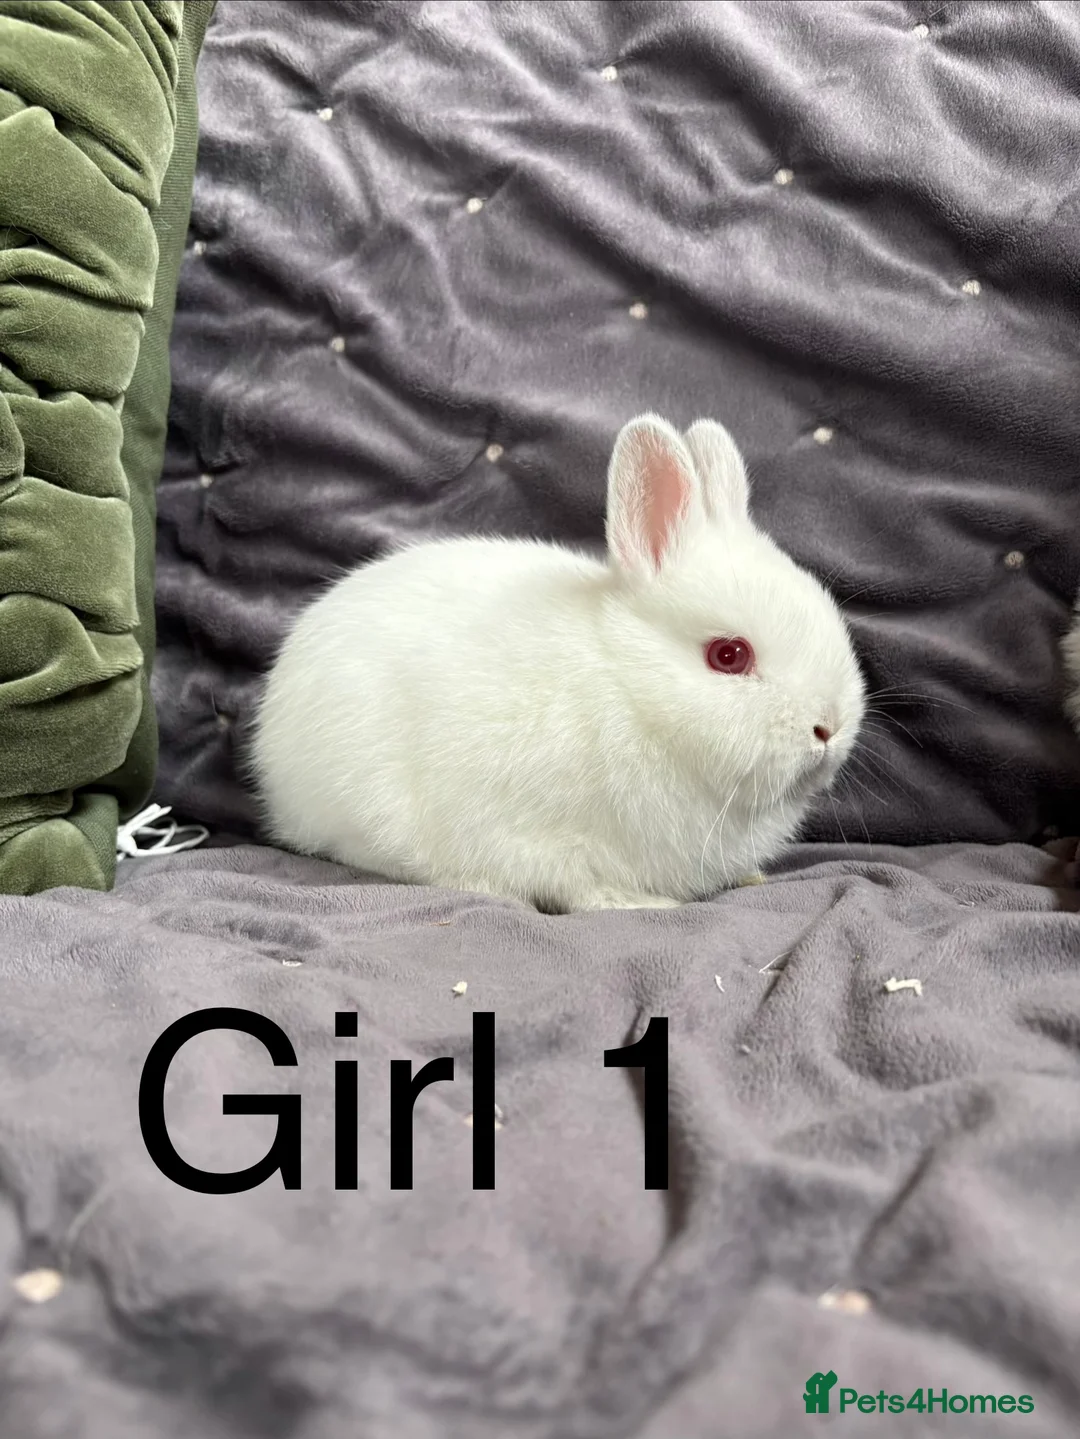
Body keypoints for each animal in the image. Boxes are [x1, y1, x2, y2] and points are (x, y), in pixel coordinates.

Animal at [250, 414, 866, 912]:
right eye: (729, 655)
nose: (829, 729)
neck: (634, 693)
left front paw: (751, 878)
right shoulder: (536, 834)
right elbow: (577, 884)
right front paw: (637, 904)